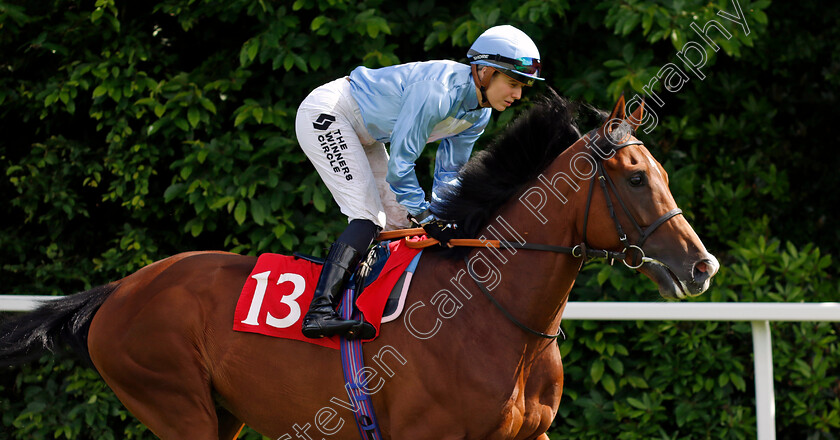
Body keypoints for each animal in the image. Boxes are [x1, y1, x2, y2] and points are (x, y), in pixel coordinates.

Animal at [1, 91, 720, 438]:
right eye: (635, 179)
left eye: (658, 173)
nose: (702, 266)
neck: (495, 318)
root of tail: (123, 289)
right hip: (176, 406)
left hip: (220, 414)